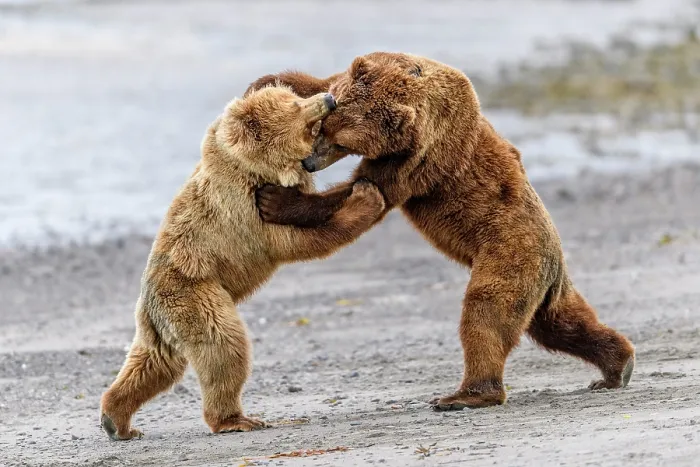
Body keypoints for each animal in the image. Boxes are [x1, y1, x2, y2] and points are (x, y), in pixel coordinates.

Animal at [99, 85, 386, 440]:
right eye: (297, 107)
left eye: (294, 97)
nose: (328, 98)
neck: (258, 167)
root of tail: (149, 302)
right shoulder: (245, 210)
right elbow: (302, 241)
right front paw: (366, 195)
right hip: (194, 295)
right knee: (224, 346)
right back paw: (235, 419)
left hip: (161, 325)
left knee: (155, 364)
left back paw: (117, 421)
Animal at [248, 52, 635, 410]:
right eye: (323, 126)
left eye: (342, 142)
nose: (310, 162)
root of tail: (555, 254)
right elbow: (323, 81)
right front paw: (267, 83)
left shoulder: (423, 156)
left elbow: (371, 188)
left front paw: (276, 199)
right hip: (542, 281)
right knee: (558, 323)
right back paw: (617, 366)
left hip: (510, 250)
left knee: (487, 311)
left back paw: (466, 395)